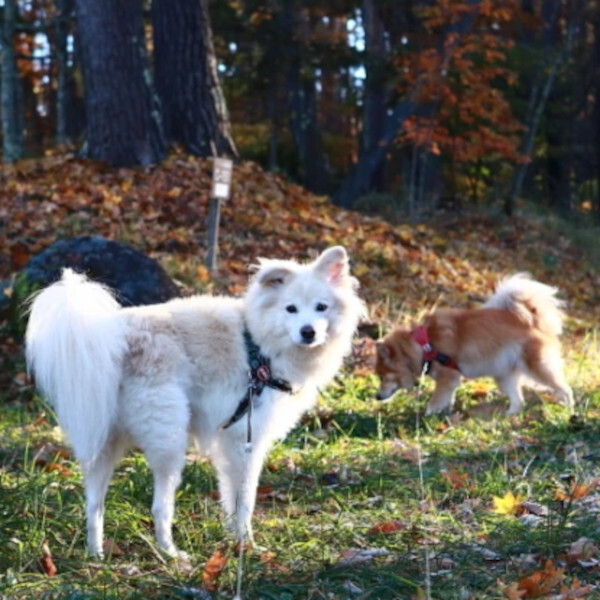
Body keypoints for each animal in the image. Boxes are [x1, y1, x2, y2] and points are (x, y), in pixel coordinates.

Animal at [25, 245, 364, 556]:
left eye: (321, 307)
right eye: (290, 309)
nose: (308, 332)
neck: (260, 344)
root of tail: (115, 340)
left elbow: (231, 495)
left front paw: (235, 538)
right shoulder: (244, 438)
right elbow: (244, 499)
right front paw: (246, 544)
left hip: (102, 440)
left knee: (94, 504)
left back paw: (96, 555)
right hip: (169, 439)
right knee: (159, 506)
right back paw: (171, 553)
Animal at [372, 274, 576, 414]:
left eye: (382, 376)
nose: (377, 397)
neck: (423, 345)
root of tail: (532, 321)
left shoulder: (447, 377)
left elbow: (435, 400)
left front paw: (427, 415)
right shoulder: (450, 380)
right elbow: (446, 399)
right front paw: (443, 413)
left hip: (537, 368)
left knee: (564, 388)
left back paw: (568, 407)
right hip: (503, 376)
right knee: (519, 401)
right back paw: (509, 415)